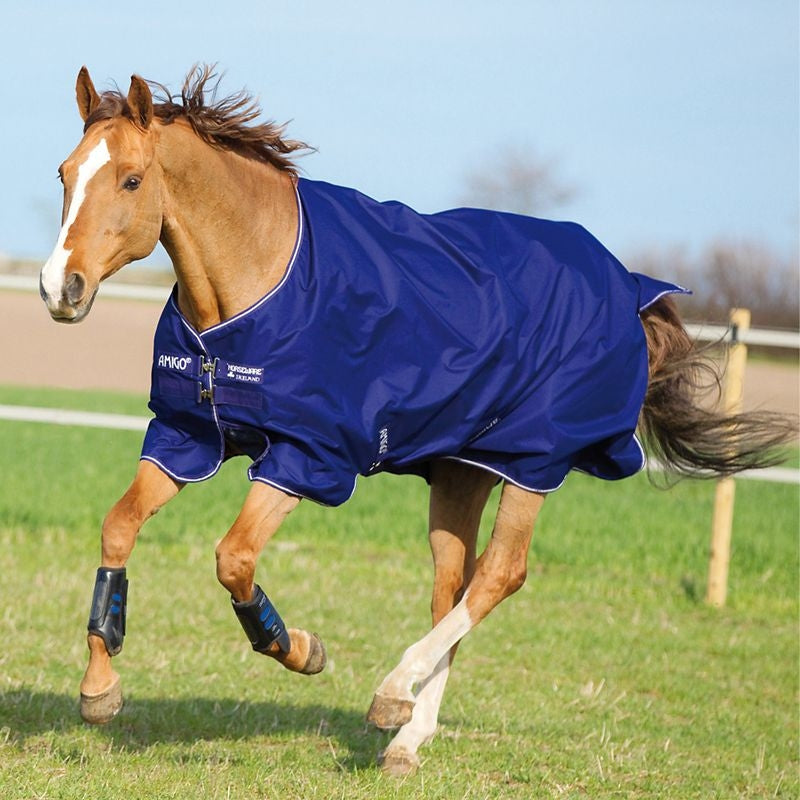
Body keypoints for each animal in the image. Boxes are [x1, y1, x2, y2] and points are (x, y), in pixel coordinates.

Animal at [39, 66, 791, 776]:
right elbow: (119, 527)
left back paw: (393, 693)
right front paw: (100, 689)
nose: (58, 288)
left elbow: (235, 559)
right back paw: (407, 737)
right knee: (452, 586)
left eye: (132, 179)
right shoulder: (188, 436)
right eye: (65, 174)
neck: (261, 278)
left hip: (534, 462)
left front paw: (299, 649)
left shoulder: (306, 456)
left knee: (500, 575)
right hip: (462, 470)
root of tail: (628, 284)